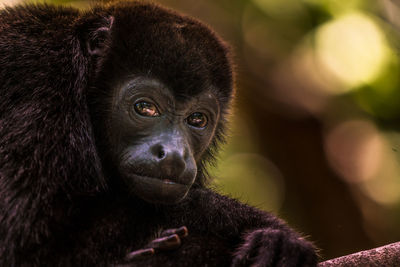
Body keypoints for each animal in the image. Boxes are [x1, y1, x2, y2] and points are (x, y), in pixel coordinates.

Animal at [0, 1, 318, 266]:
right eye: (145, 108)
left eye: (197, 119)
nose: (174, 155)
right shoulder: (41, 96)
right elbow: (28, 247)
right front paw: (266, 228)